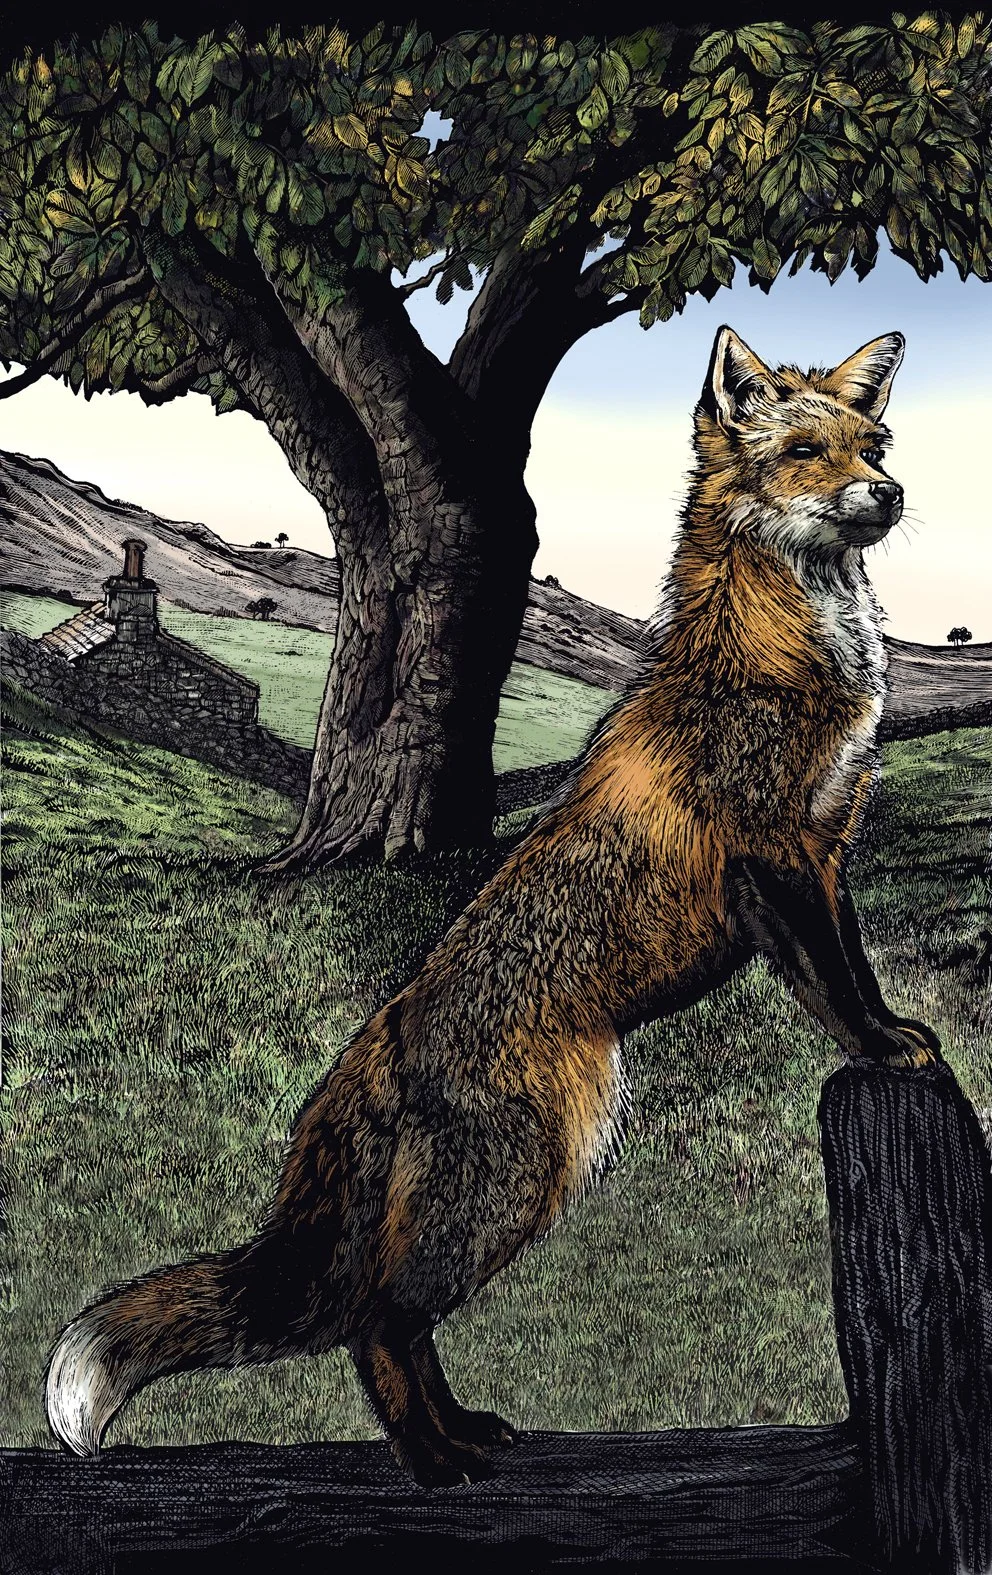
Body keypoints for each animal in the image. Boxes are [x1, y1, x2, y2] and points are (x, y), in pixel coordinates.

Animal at [46, 324, 941, 1487]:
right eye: (801, 452)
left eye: (872, 444)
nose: (887, 492)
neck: (782, 651)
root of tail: (374, 1044)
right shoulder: (773, 858)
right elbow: (833, 983)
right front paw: (883, 1049)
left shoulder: (824, 848)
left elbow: (847, 968)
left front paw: (889, 1034)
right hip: (519, 1181)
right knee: (377, 1323)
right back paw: (432, 1462)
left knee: (401, 1324)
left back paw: (460, 1431)